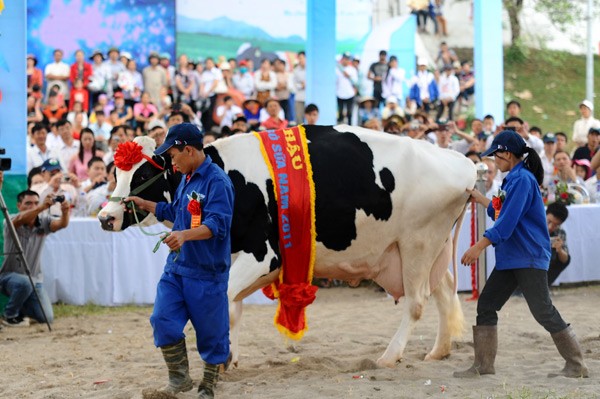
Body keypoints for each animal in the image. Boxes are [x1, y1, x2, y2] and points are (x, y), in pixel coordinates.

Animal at [98, 127, 476, 368]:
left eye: (142, 173)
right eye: (116, 171)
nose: (105, 217)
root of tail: (463, 162)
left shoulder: (264, 255)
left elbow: (225, 300)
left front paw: (224, 357)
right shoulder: (231, 254)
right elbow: (232, 307)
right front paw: (230, 358)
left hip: (417, 243)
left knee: (417, 303)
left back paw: (389, 356)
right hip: (432, 248)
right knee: (445, 291)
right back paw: (438, 352)